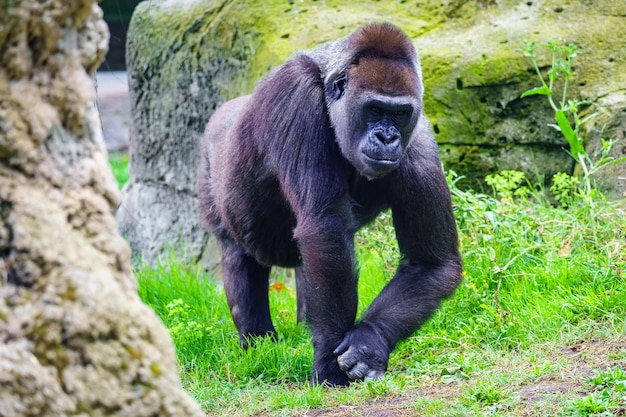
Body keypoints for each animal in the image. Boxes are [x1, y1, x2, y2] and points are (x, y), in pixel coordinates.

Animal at [197, 22, 460, 386]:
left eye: (398, 114)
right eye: (374, 109)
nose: (387, 138)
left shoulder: (418, 137)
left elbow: (429, 264)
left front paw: (368, 342)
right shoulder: (297, 96)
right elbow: (325, 228)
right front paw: (329, 365)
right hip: (211, 172)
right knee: (239, 258)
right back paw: (257, 343)